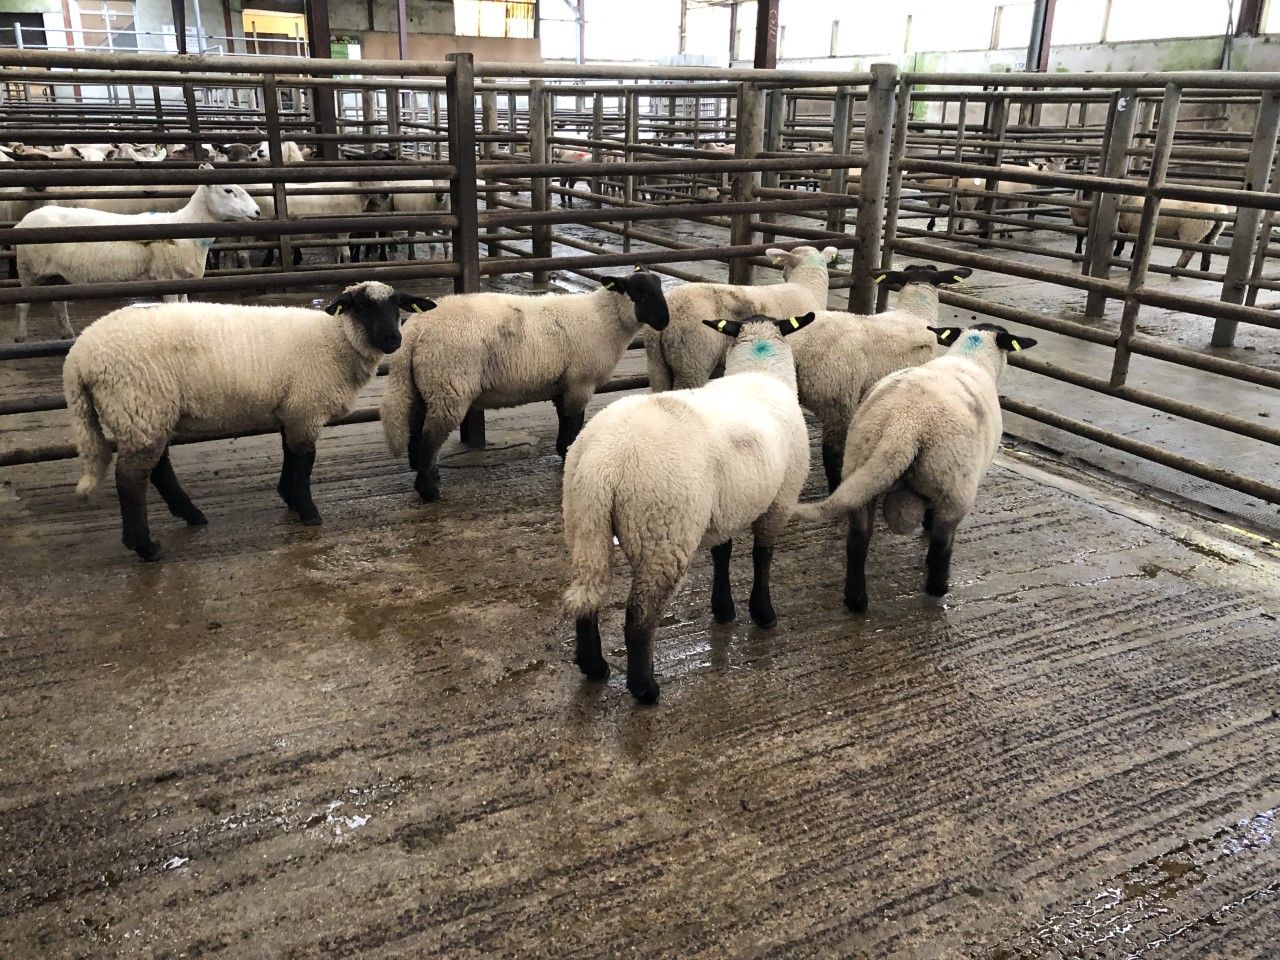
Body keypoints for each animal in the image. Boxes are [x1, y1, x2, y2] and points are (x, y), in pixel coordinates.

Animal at [13, 182, 260, 342]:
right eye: (228, 190)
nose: (258, 211)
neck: (187, 225)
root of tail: (24, 221)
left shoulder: (183, 280)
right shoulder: (167, 278)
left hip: (57, 274)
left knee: (59, 304)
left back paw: (67, 334)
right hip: (29, 270)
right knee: (23, 305)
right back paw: (21, 337)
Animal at [63, 281, 435, 561]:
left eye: (397, 305)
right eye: (361, 306)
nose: (393, 339)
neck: (334, 341)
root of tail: (77, 357)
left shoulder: (291, 407)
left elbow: (290, 456)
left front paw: (288, 497)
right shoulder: (305, 408)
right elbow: (305, 461)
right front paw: (308, 512)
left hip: (148, 412)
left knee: (157, 469)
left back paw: (191, 516)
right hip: (140, 404)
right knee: (131, 479)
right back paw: (146, 547)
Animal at [380, 269, 670, 504]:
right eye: (639, 292)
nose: (664, 321)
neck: (604, 319)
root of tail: (415, 330)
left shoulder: (562, 382)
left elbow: (564, 420)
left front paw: (562, 452)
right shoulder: (580, 382)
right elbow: (574, 423)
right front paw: (568, 455)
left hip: (423, 386)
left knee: (416, 431)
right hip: (448, 386)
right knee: (430, 440)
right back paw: (429, 491)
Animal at [563, 310, 818, 705]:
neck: (761, 371)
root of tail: (603, 461)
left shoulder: (725, 508)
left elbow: (722, 554)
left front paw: (724, 609)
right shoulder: (780, 501)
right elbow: (763, 557)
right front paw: (763, 613)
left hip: (582, 521)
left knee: (586, 593)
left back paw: (595, 667)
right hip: (663, 531)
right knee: (638, 616)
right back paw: (645, 688)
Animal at [793, 322, 1038, 611]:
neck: (972, 357)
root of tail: (904, 423)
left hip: (860, 464)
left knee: (857, 540)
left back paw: (856, 601)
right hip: (955, 485)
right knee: (942, 545)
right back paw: (938, 589)